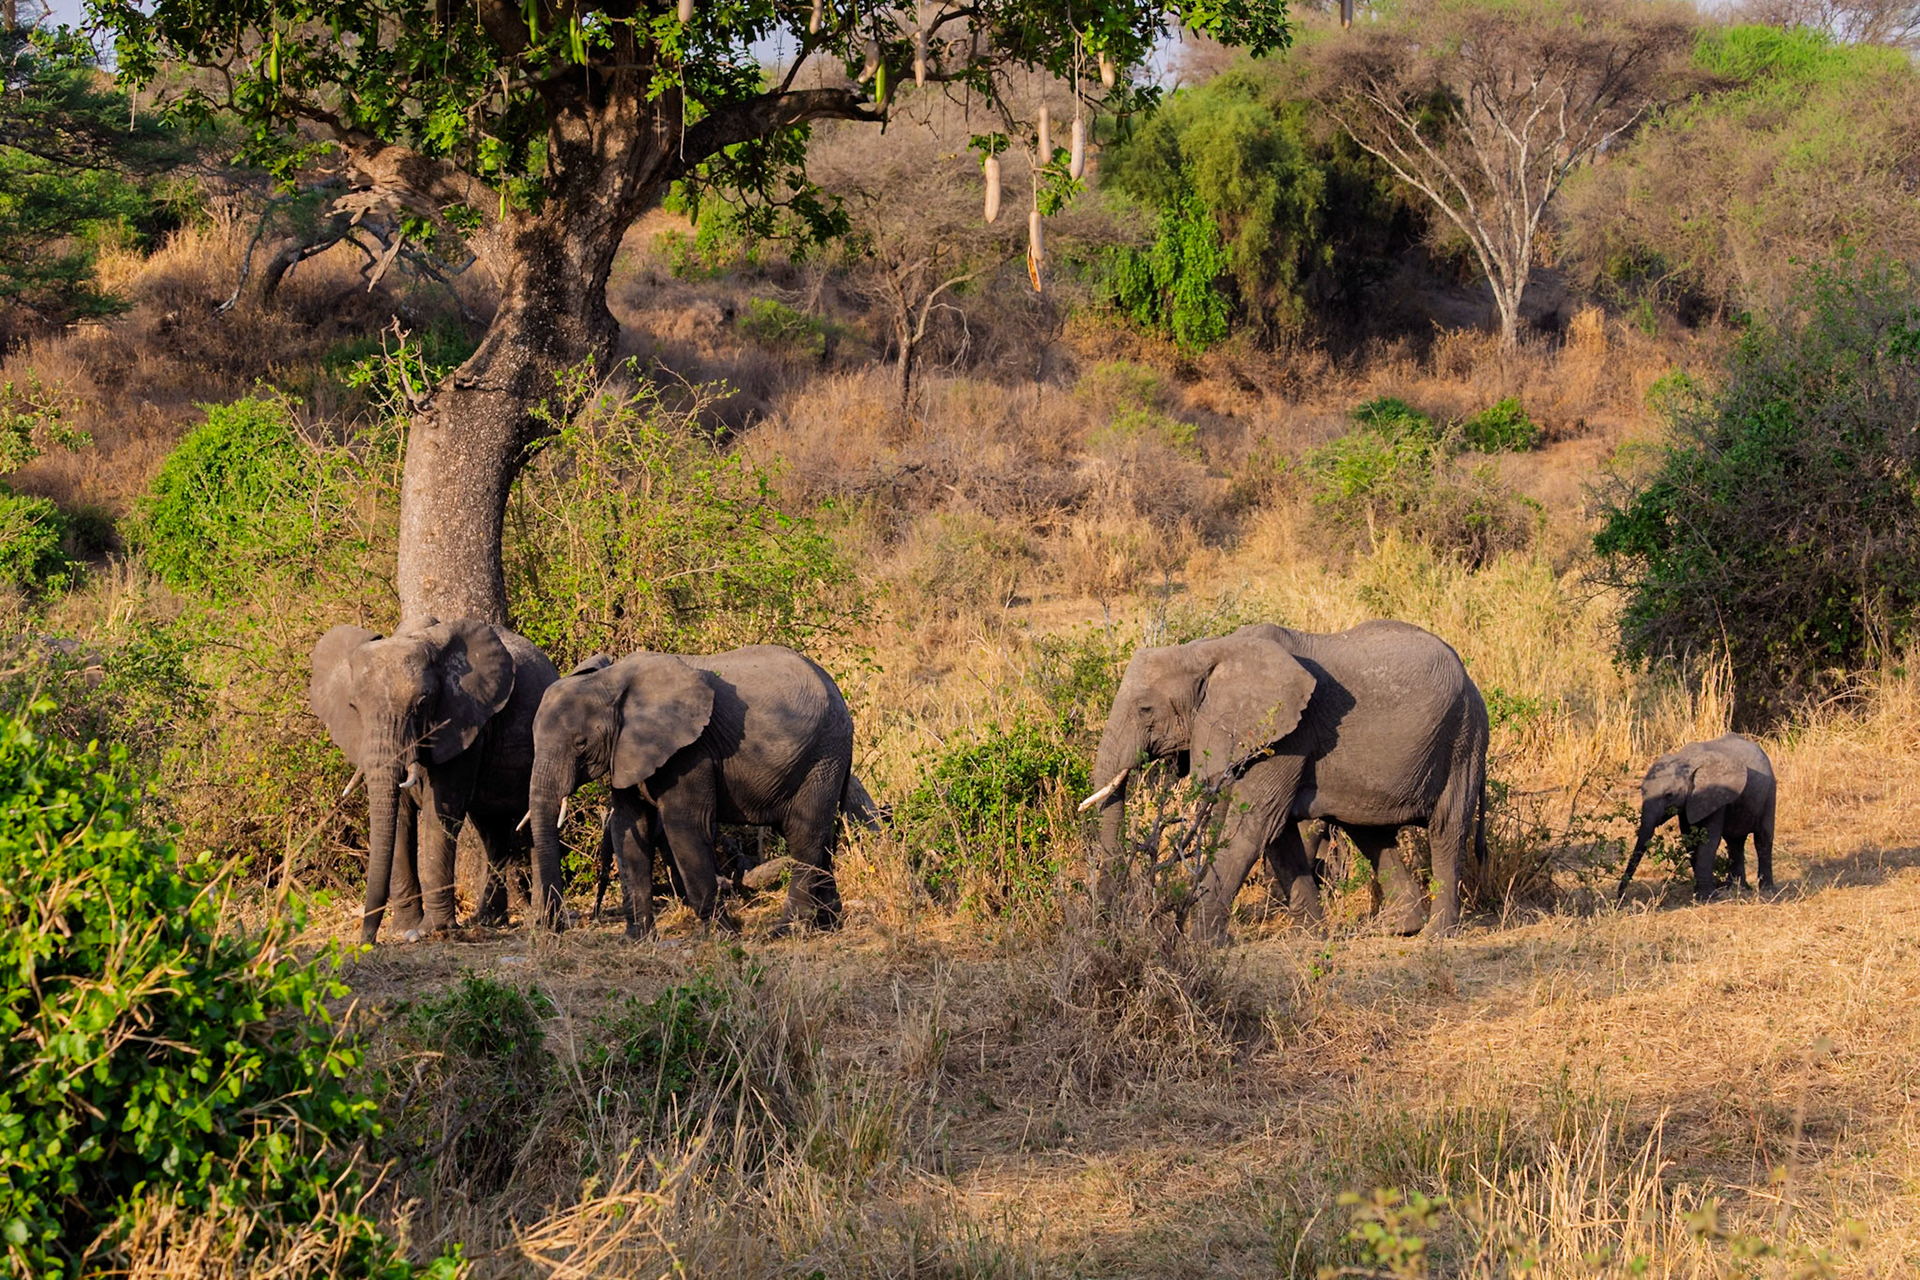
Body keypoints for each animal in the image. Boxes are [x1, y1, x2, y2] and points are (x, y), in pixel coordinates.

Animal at [310, 618, 559, 943]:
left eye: (423, 703)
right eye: (353, 707)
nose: (367, 941)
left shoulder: (465, 722)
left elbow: (440, 814)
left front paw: (431, 930)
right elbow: (400, 818)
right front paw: (404, 928)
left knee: (529, 822)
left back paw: (539, 921)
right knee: (491, 829)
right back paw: (488, 920)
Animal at [527, 644, 860, 937]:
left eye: (580, 743)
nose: (556, 928)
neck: (611, 681)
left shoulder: (689, 753)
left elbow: (685, 825)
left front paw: (723, 936)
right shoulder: (626, 751)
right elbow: (630, 825)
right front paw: (638, 939)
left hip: (821, 756)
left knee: (805, 836)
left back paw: (786, 930)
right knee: (817, 837)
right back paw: (827, 926)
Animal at [1082, 620, 1490, 939]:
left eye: (1145, 709)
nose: (1109, 922)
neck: (1208, 649)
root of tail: (1471, 680)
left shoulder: (1287, 735)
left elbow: (1254, 826)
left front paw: (1199, 941)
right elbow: (1277, 836)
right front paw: (1308, 936)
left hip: (1462, 738)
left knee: (1447, 829)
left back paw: (1436, 934)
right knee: (1368, 832)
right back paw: (1399, 927)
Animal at [1616, 735, 1775, 903]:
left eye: (1669, 795)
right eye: (1642, 791)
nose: (1622, 897)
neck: (1685, 760)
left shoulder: (1713, 795)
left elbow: (1709, 841)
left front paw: (1705, 897)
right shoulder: (1690, 803)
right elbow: (1690, 840)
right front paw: (1707, 893)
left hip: (1770, 792)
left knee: (1763, 840)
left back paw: (1767, 891)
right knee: (1735, 843)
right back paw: (1736, 888)